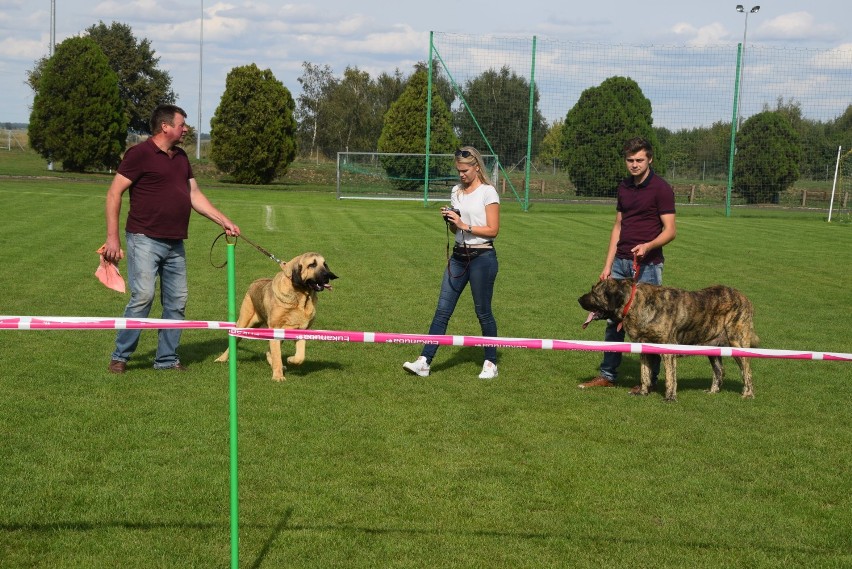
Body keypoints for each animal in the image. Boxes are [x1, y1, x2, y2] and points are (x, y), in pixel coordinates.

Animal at [216, 251, 336, 380]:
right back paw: (222, 358)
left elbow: (300, 356)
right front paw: (278, 377)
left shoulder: (302, 330)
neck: (300, 297)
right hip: (244, 323)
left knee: (269, 351)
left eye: (324, 264)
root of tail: (254, 283)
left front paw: (290, 360)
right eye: (312, 265)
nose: (328, 275)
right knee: (234, 341)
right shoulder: (276, 327)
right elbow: (277, 354)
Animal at [580, 278, 760, 402]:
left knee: (747, 370)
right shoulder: (644, 348)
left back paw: (748, 394)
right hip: (713, 346)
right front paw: (643, 392)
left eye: (594, 293)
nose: (579, 299)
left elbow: (669, 377)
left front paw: (670, 397)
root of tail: (746, 299)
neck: (633, 303)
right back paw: (713, 391)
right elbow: (645, 373)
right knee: (719, 371)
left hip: (737, 342)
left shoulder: (667, 349)